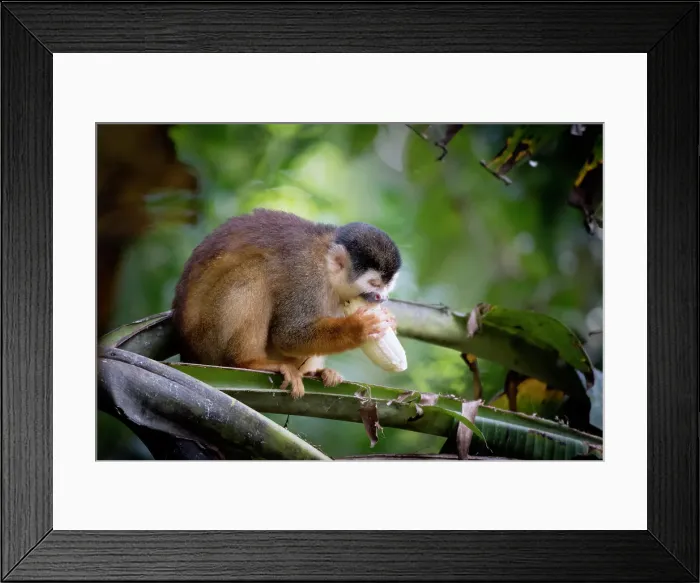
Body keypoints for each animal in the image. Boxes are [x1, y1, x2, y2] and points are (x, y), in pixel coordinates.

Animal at [171, 208, 402, 399]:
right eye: (374, 284)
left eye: (387, 285)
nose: (382, 298)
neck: (326, 267)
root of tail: (189, 355)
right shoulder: (306, 275)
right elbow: (287, 334)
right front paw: (358, 328)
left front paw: (389, 319)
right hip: (209, 337)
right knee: (255, 271)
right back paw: (248, 361)